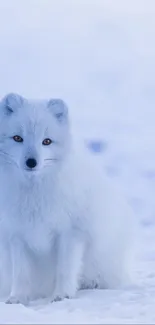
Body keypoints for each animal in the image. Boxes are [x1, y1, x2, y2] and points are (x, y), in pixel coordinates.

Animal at [0, 93, 136, 304]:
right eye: (17, 138)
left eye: (47, 141)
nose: (31, 162)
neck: (34, 194)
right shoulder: (16, 235)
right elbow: (20, 273)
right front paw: (17, 298)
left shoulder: (71, 232)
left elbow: (65, 269)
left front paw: (62, 295)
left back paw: (91, 284)